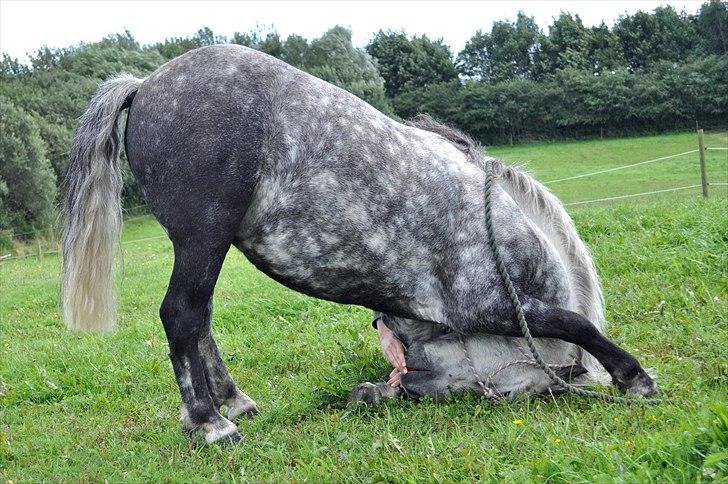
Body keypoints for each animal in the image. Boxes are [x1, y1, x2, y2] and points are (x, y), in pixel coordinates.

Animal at [61, 44, 658, 444]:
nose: (406, 377)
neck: (506, 235)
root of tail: (145, 83)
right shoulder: (488, 303)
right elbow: (575, 323)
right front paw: (634, 378)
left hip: (204, 245)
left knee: (200, 319)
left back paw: (233, 402)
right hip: (202, 239)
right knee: (182, 315)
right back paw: (210, 423)